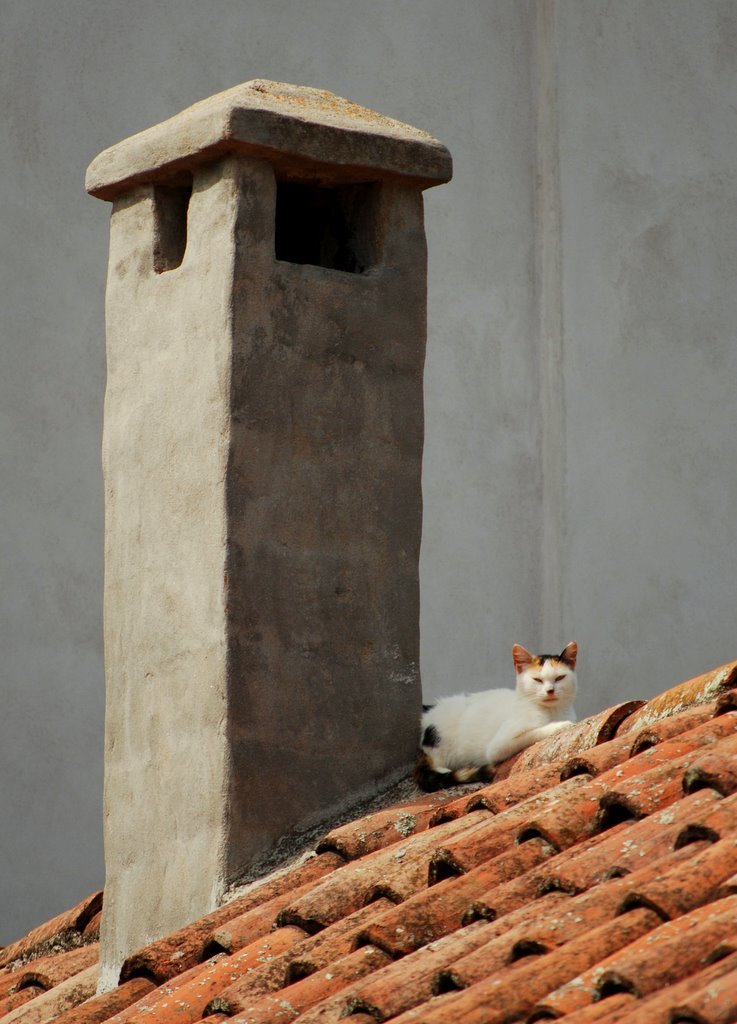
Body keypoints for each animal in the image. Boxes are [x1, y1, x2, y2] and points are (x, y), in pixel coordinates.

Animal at [413, 638, 577, 790]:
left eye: (560, 678)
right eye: (537, 680)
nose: (550, 691)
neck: (551, 711)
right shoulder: (498, 746)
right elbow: (532, 733)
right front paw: (560, 725)